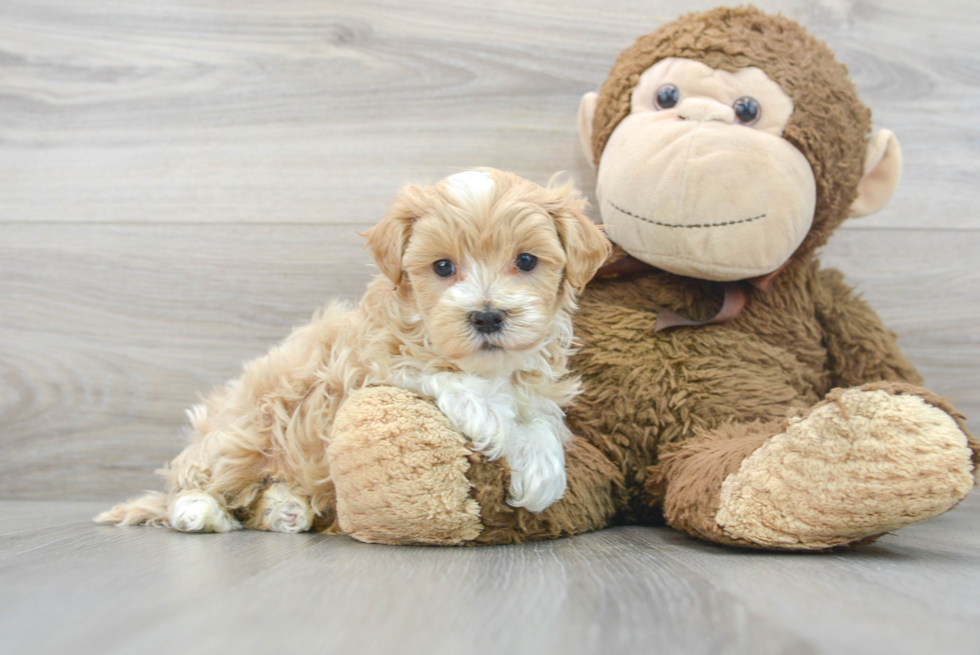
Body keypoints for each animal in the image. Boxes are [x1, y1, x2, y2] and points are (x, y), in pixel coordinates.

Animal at [95, 169, 608, 532]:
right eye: (443, 267)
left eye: (526, 260)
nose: (485, 316)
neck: (490, 365)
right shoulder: (377, 365)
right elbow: (458, 385)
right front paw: (509, 435)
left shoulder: (533, 383)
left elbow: (540, 416)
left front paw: (543, 467)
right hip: (244, 430)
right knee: (193, 481)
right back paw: (200, 512)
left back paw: (287, 508)